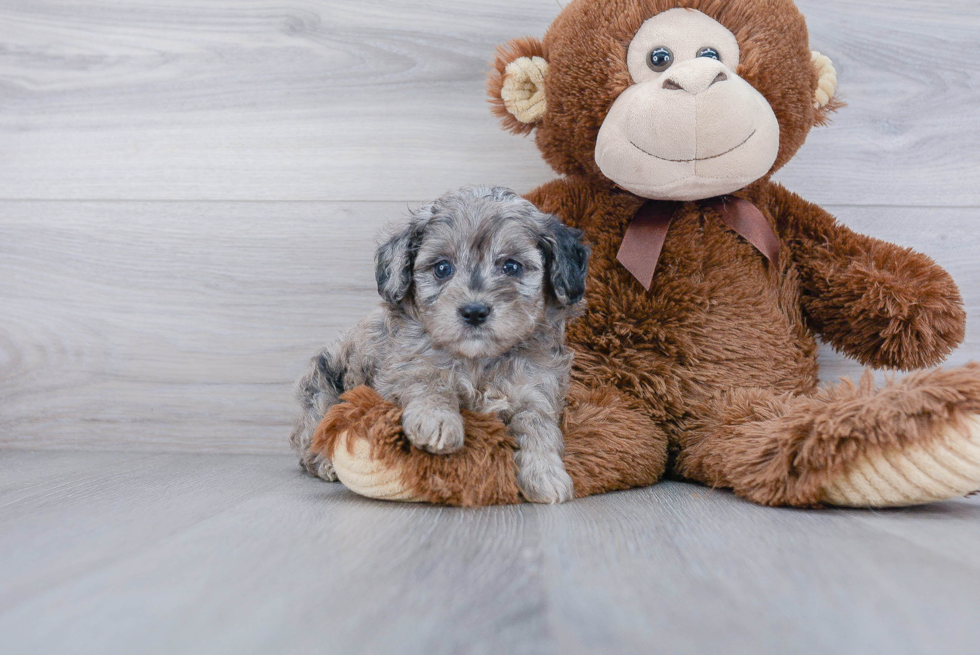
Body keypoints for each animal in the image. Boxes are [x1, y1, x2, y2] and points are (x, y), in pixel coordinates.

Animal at [290, 187, 588, 504]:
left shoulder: (536, 386)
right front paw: (437, 421)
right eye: (443, 268)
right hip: (322, 389)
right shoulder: (403, 365)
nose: (474, 311)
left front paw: (545, 473)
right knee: (313, 432)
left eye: (511, 267)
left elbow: (537, 424)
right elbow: (427, 380)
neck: (477, 361)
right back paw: (323, 462)